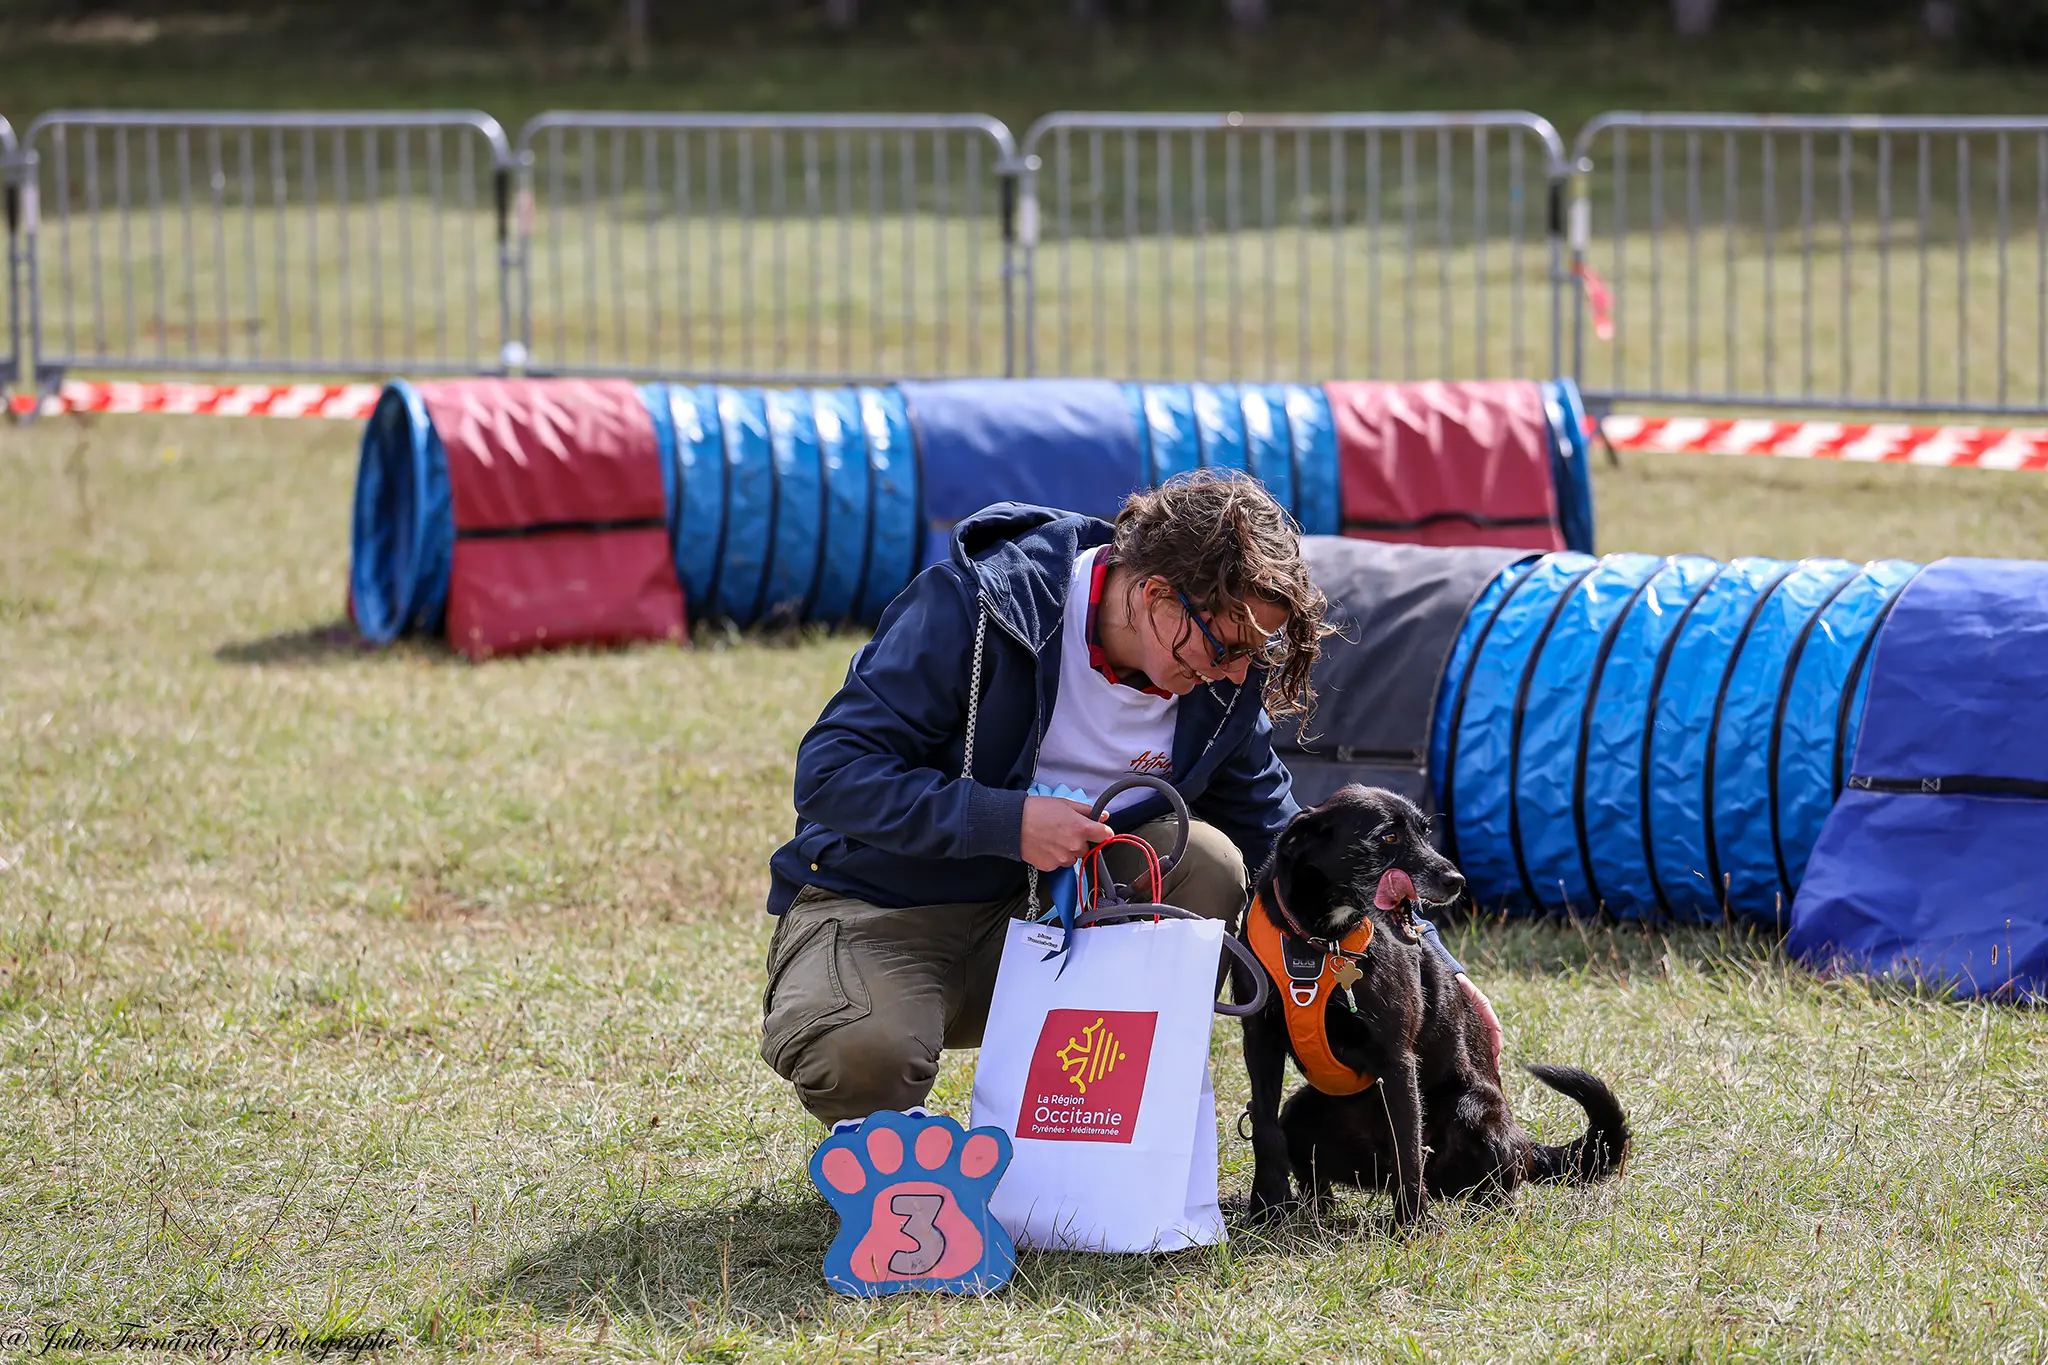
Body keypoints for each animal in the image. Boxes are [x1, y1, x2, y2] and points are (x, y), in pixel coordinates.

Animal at [1228, 785, 1630, 1219]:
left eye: (1424, 832)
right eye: (1388, 836)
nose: (1457, 881)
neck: (1323, 942)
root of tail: (1527, 1145)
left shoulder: (1397, 1058)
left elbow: (1406, 1143)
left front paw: (1413, 1225)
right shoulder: (1260, 1040)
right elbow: (1265, 1126)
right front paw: (1266, 1206)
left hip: (1473, 1109)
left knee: (1494, 1182)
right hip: (1302, 1112)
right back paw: (1315, 1208)